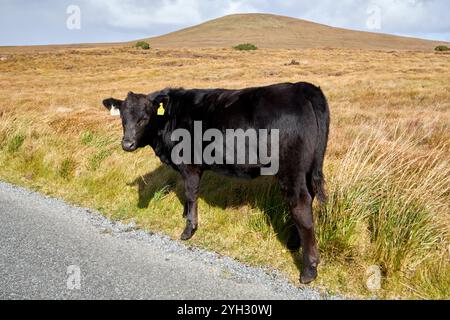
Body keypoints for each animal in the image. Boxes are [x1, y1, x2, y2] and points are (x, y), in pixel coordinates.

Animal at [103, 82, 330, 282]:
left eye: (145, 117)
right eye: (123, 117)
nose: (127, 144)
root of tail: (302, 87)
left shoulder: (190, 165)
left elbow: (191, 194)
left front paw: (188, 229)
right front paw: (185, 214)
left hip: (291, 169)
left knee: (300, 206)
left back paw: (309, 270)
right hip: (307, 169)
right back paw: (294, 242)